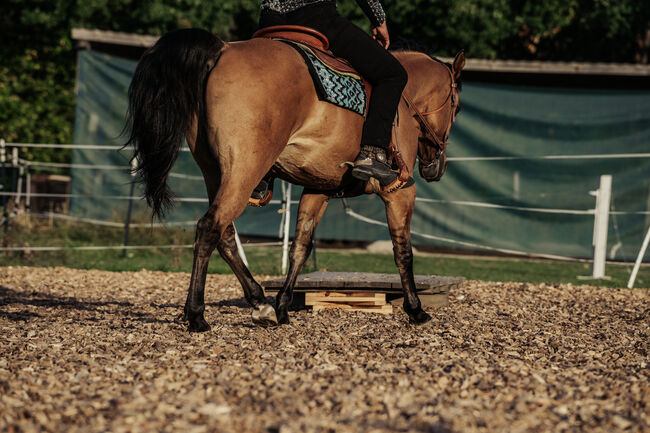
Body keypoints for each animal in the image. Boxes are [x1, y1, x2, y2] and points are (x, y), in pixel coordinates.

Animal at [124, 27, 464, 330]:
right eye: (456, 106)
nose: (436, 167)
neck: (403, 101)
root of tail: (223, 49)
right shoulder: (400, 192)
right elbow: (403, 251)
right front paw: (415, 309)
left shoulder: (317, 190)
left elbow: (300, 246)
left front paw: (283, 306)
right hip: (243, 171)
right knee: (210, 228)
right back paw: (196, 314)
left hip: (215, 173)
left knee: (225, 234)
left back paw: (259, 302)